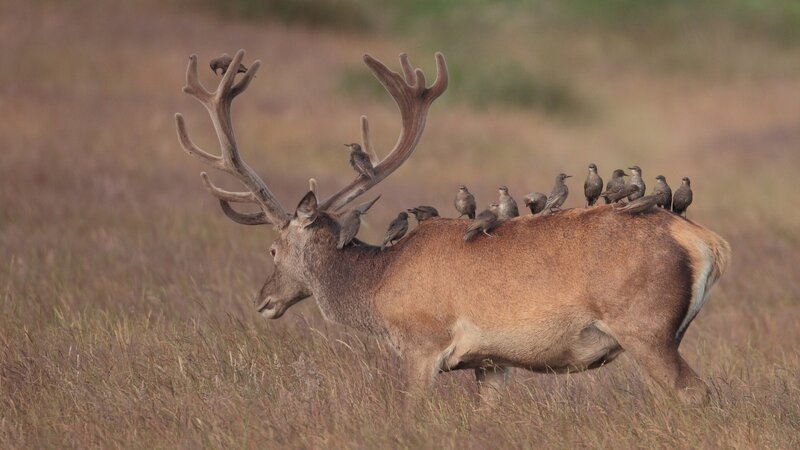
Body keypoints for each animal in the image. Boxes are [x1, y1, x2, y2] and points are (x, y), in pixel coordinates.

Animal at [175, 50, 731, 405]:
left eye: (272, 249)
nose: (263, 301)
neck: (378, 287)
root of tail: (707, 242)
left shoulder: (422, 342)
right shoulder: (491, 362)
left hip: (645, 326)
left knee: (696, 393)